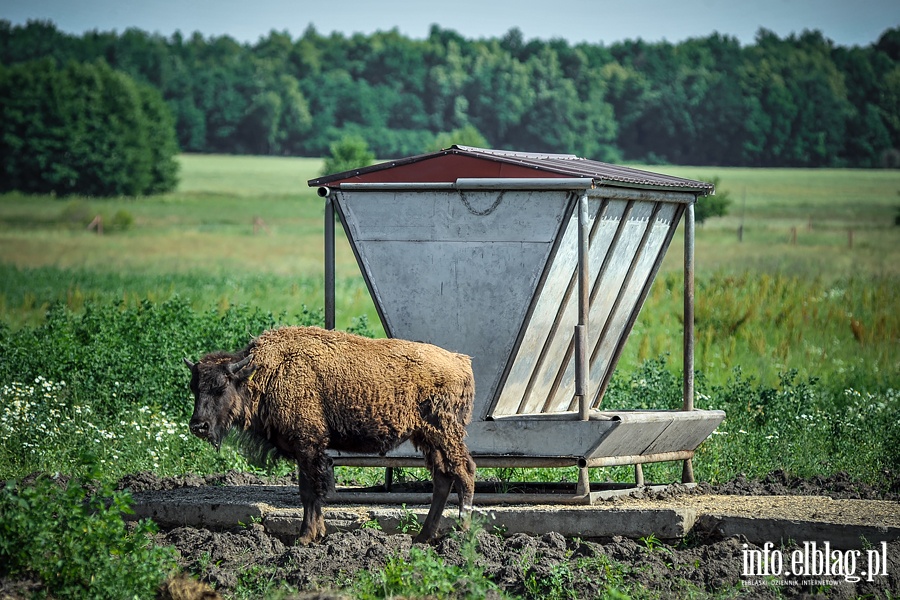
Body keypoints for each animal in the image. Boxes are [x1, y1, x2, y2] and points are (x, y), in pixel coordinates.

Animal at [184, 326, 478, 548]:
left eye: (221, 386)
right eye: (194, 387)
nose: (198, 425)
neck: (266, 372)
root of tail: (460, 361)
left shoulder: (308, 446)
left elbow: (309, 491)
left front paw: (305, 537)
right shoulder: (308, 450)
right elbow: (313, 492)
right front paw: (318, 533)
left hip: (444, 434)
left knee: (464, 472)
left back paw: (462, 533)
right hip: (429, 439)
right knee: (443, 478)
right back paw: (423, 537)